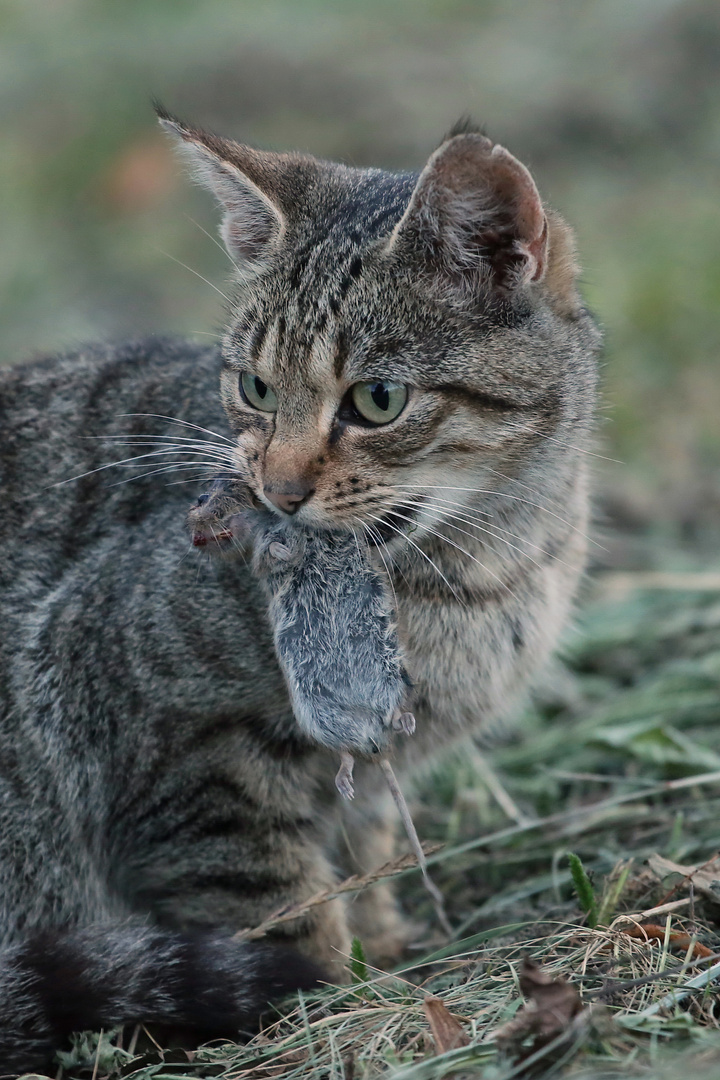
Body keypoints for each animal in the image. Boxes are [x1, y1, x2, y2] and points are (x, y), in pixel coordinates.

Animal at [0, 109, 600, 1071]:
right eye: (254, 387)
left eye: (378, 399)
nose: (277, 491)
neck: (484, 570)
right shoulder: (179, 751)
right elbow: (279, 902)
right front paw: (332, 998)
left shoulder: (365, 762)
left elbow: (365, 845)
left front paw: (384, 943)